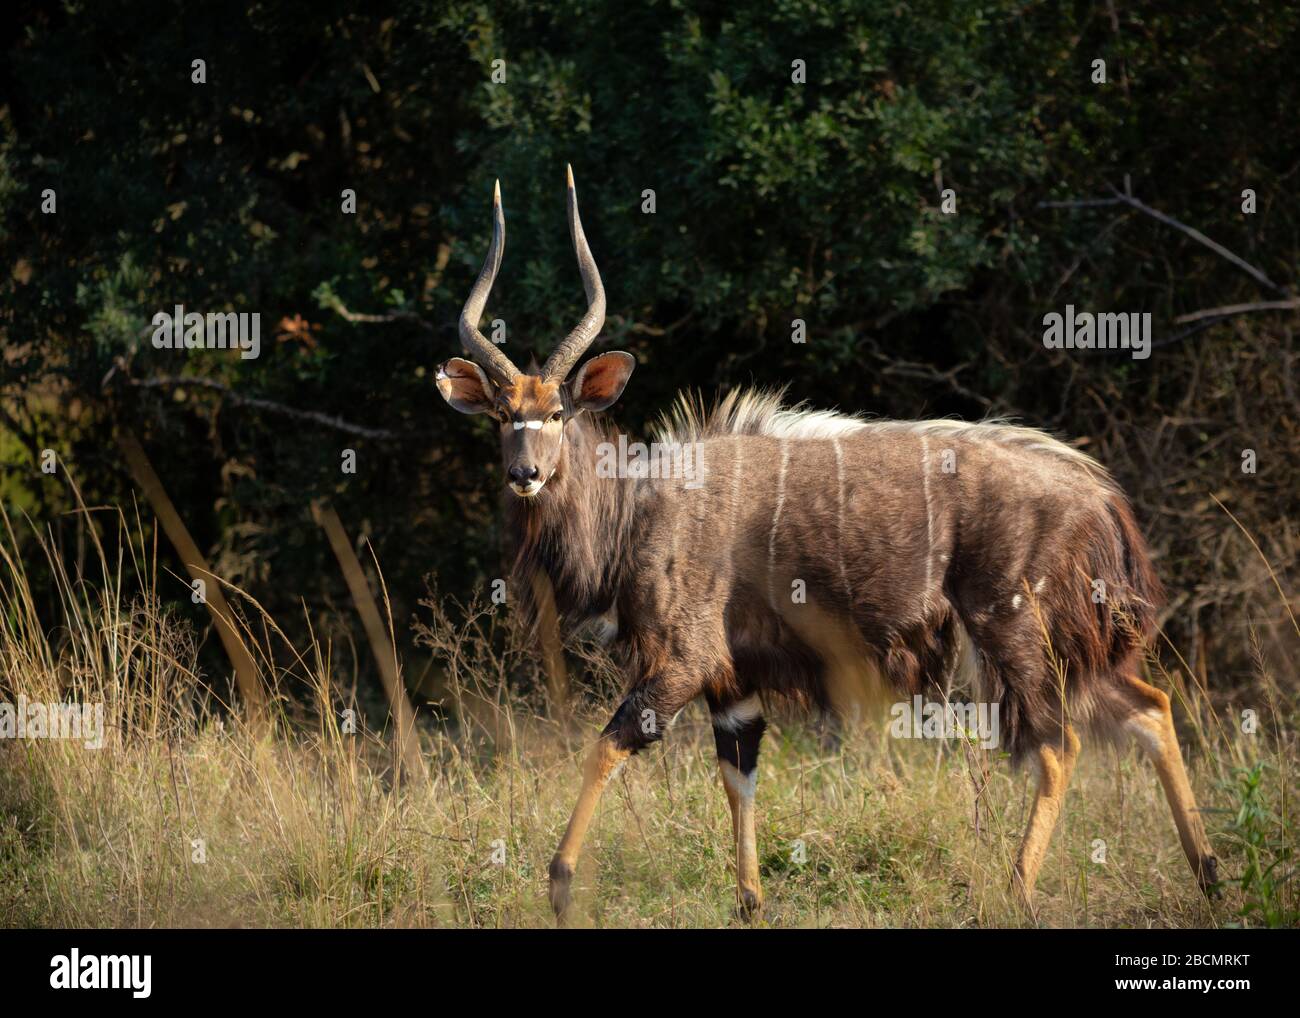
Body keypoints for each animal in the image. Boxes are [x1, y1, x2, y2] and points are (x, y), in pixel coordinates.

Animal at [436, 169, 1216, 925]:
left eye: (556, 412)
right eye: (502, 416)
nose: (525, 474)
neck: (639, 507)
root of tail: (1099, 498)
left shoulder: (682, 661)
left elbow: (608, 742)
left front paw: (561, 884)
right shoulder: (733, 681)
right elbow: (738, 773)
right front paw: (750, 902)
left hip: (1010, 630)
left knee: (1059, 745)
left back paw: (1017, 891)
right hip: (1065, 650)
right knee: (1150, 707)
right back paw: (1208, 876)